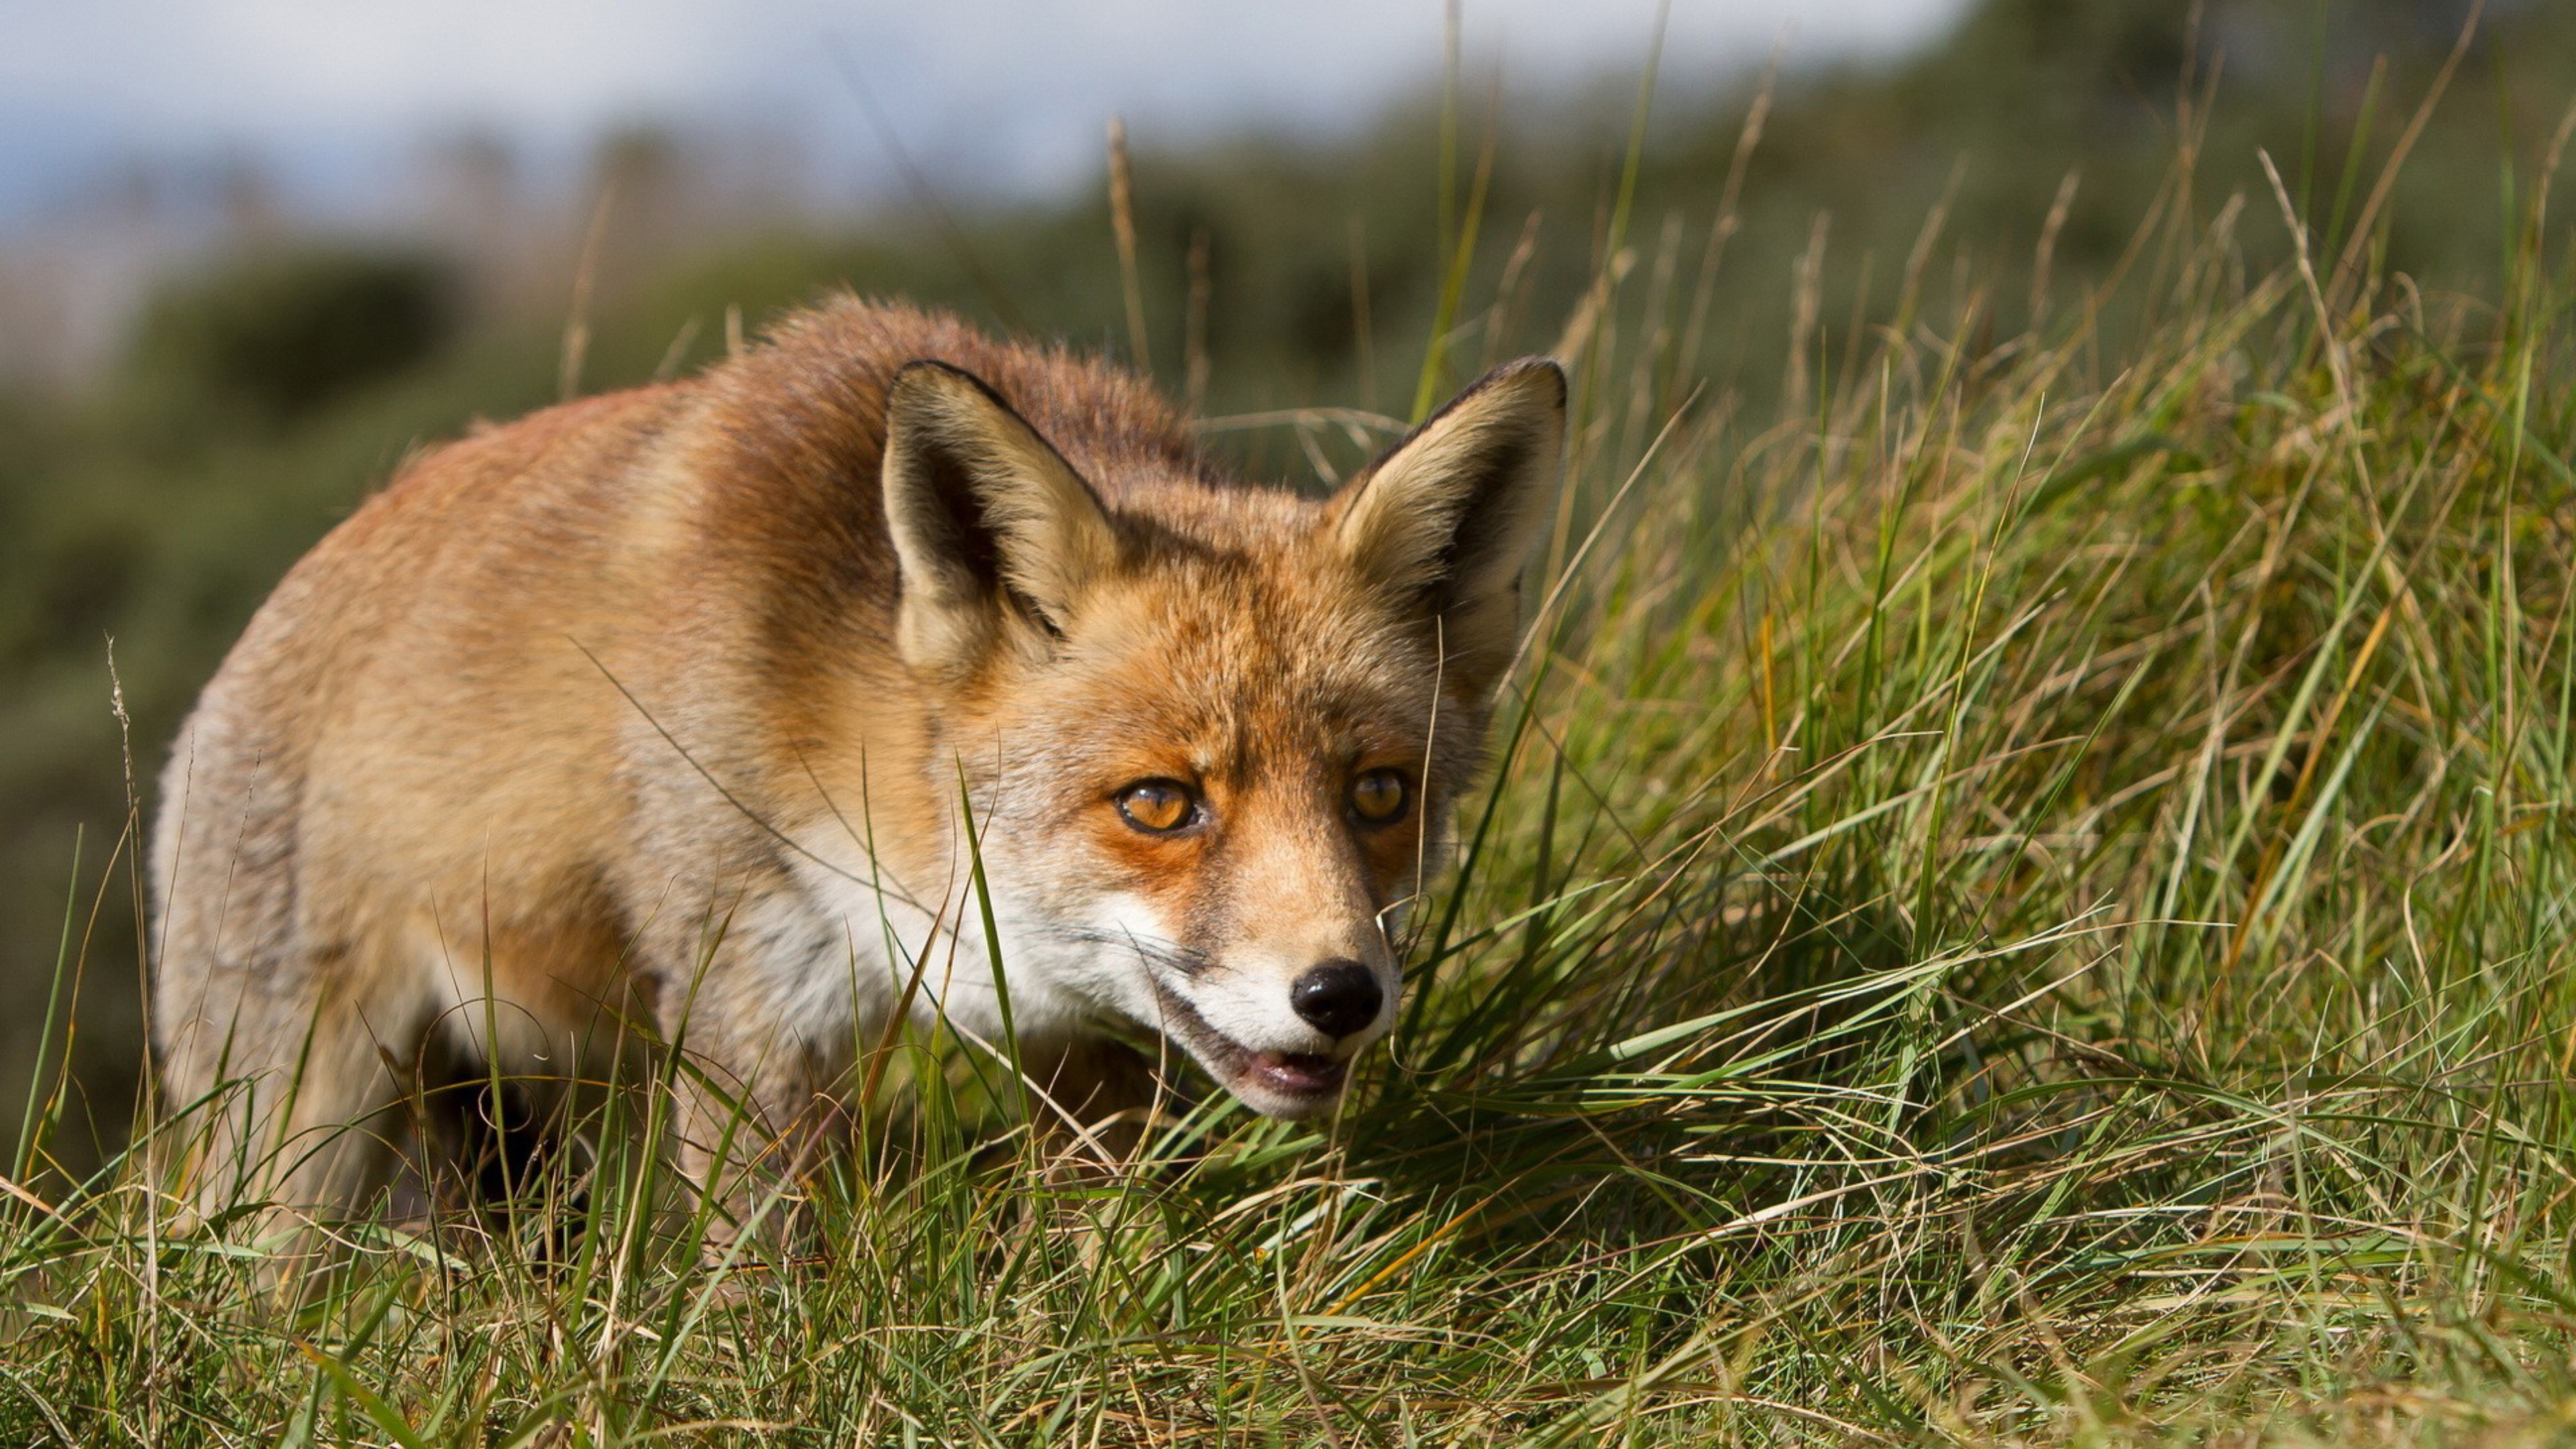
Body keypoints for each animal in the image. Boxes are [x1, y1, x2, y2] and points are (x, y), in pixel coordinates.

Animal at [156, 296, 1566, 1227]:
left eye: (1378, 794)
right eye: (1161, 803)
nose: (1343, 996)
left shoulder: (1078, 1049)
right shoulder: (742, 1003)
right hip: (300, 1136)